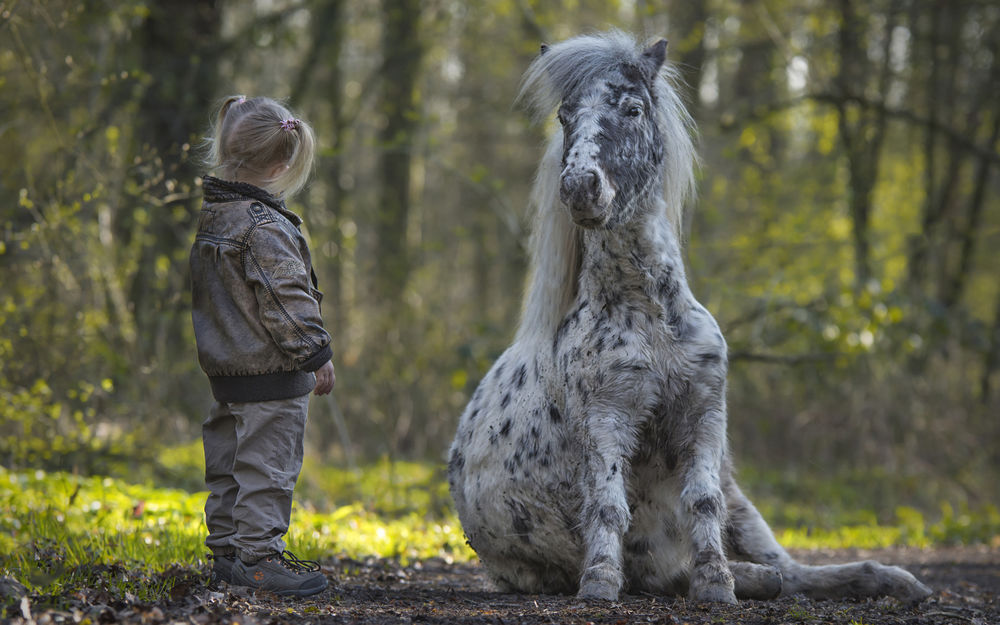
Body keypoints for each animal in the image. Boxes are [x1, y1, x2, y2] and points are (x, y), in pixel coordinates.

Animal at [446, 30, 928, 604]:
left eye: (632, 109)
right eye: (565, 116)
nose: (580, 187)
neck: (648, 313)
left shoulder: (704, 416)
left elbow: (703, 502)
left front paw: (717, 584)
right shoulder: (606, 420)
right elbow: (608, 506)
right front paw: (600, 584)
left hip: (740, 497)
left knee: (789, 568)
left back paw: (892, 581)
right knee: (719, 572)